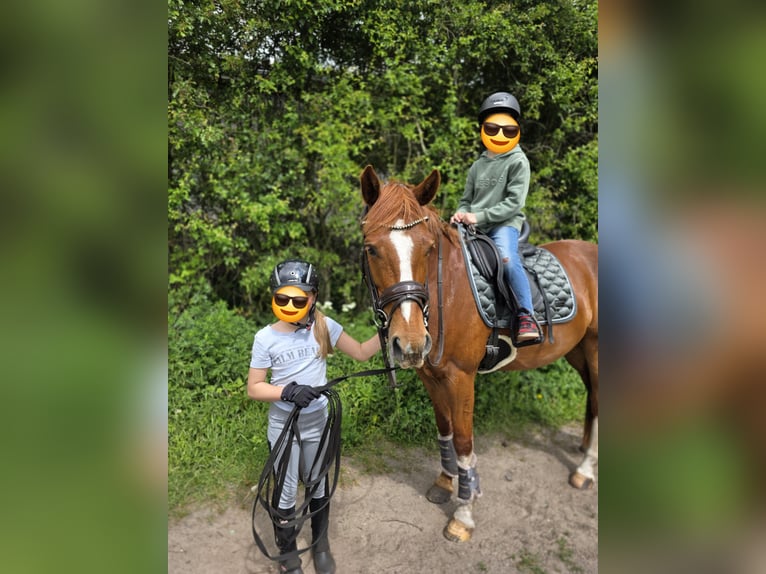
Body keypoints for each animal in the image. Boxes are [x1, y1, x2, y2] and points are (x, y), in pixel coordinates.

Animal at [359, 165, 598, 542]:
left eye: (428, 248)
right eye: (371, 249)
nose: (410, 342)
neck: (448, 292)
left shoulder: (461, 378)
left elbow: (463, 443)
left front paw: (463, 515)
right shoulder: (431, 375)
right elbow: (444, 431)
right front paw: (445, 484)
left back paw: (586, 469)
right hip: (578, 350)